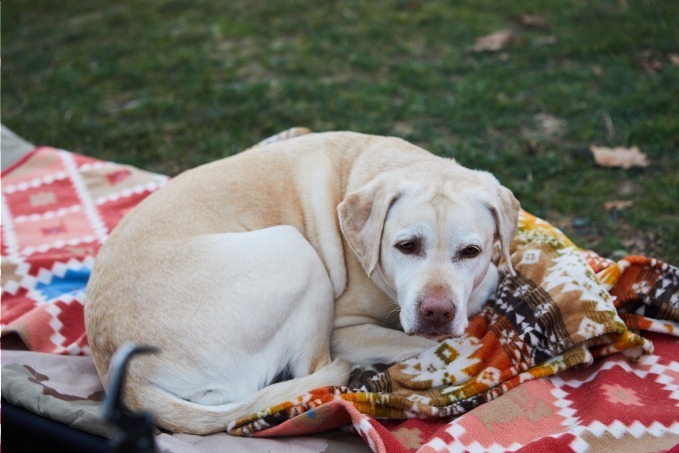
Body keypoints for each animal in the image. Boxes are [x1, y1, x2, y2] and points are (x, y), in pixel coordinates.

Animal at [85, 129, 520, 432]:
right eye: (406, 245)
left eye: (471, 252)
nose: (437, 312)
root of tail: (126, 376)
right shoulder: (344, 330)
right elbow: (435, 341)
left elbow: (486, 283)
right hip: (297, 252)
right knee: (317, 377)